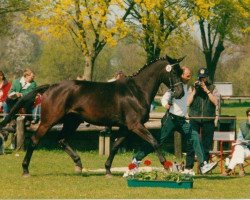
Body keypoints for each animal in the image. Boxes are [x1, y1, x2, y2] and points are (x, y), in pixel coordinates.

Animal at [0, 55, 185, 177]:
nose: (180, 93)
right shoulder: (135, 125)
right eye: (174, 72)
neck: (136, 91)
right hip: (49, 120)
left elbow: (115, 146)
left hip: (72, 121)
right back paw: (25, 170)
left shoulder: (126, 127)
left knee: (61, 140)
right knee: (34, 140)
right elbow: (154, 142)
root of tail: (51, 87)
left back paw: (79, 165)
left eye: (181, 71)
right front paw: (167, 166)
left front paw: (108, 170)